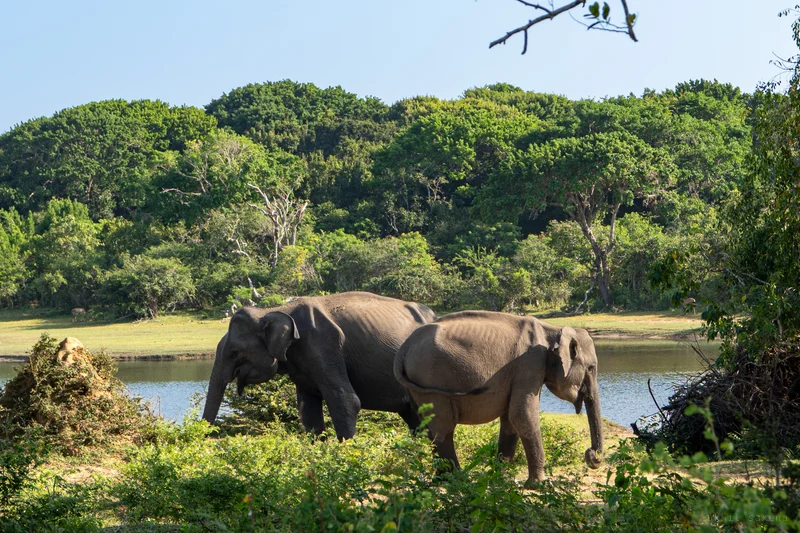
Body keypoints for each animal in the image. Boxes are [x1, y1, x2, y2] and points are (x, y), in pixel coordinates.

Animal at [393, 310, 603, 486]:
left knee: (427, 426)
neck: (551, 330)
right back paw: (457, 479)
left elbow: (511, 419)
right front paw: (539, 485)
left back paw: (441, 479)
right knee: (442, 426)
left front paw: (500, 479)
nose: (592, 456)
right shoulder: (529, 365)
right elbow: (523, 415)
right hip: (430, 379)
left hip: (417, 385)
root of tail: (404, 348)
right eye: (592, 368)